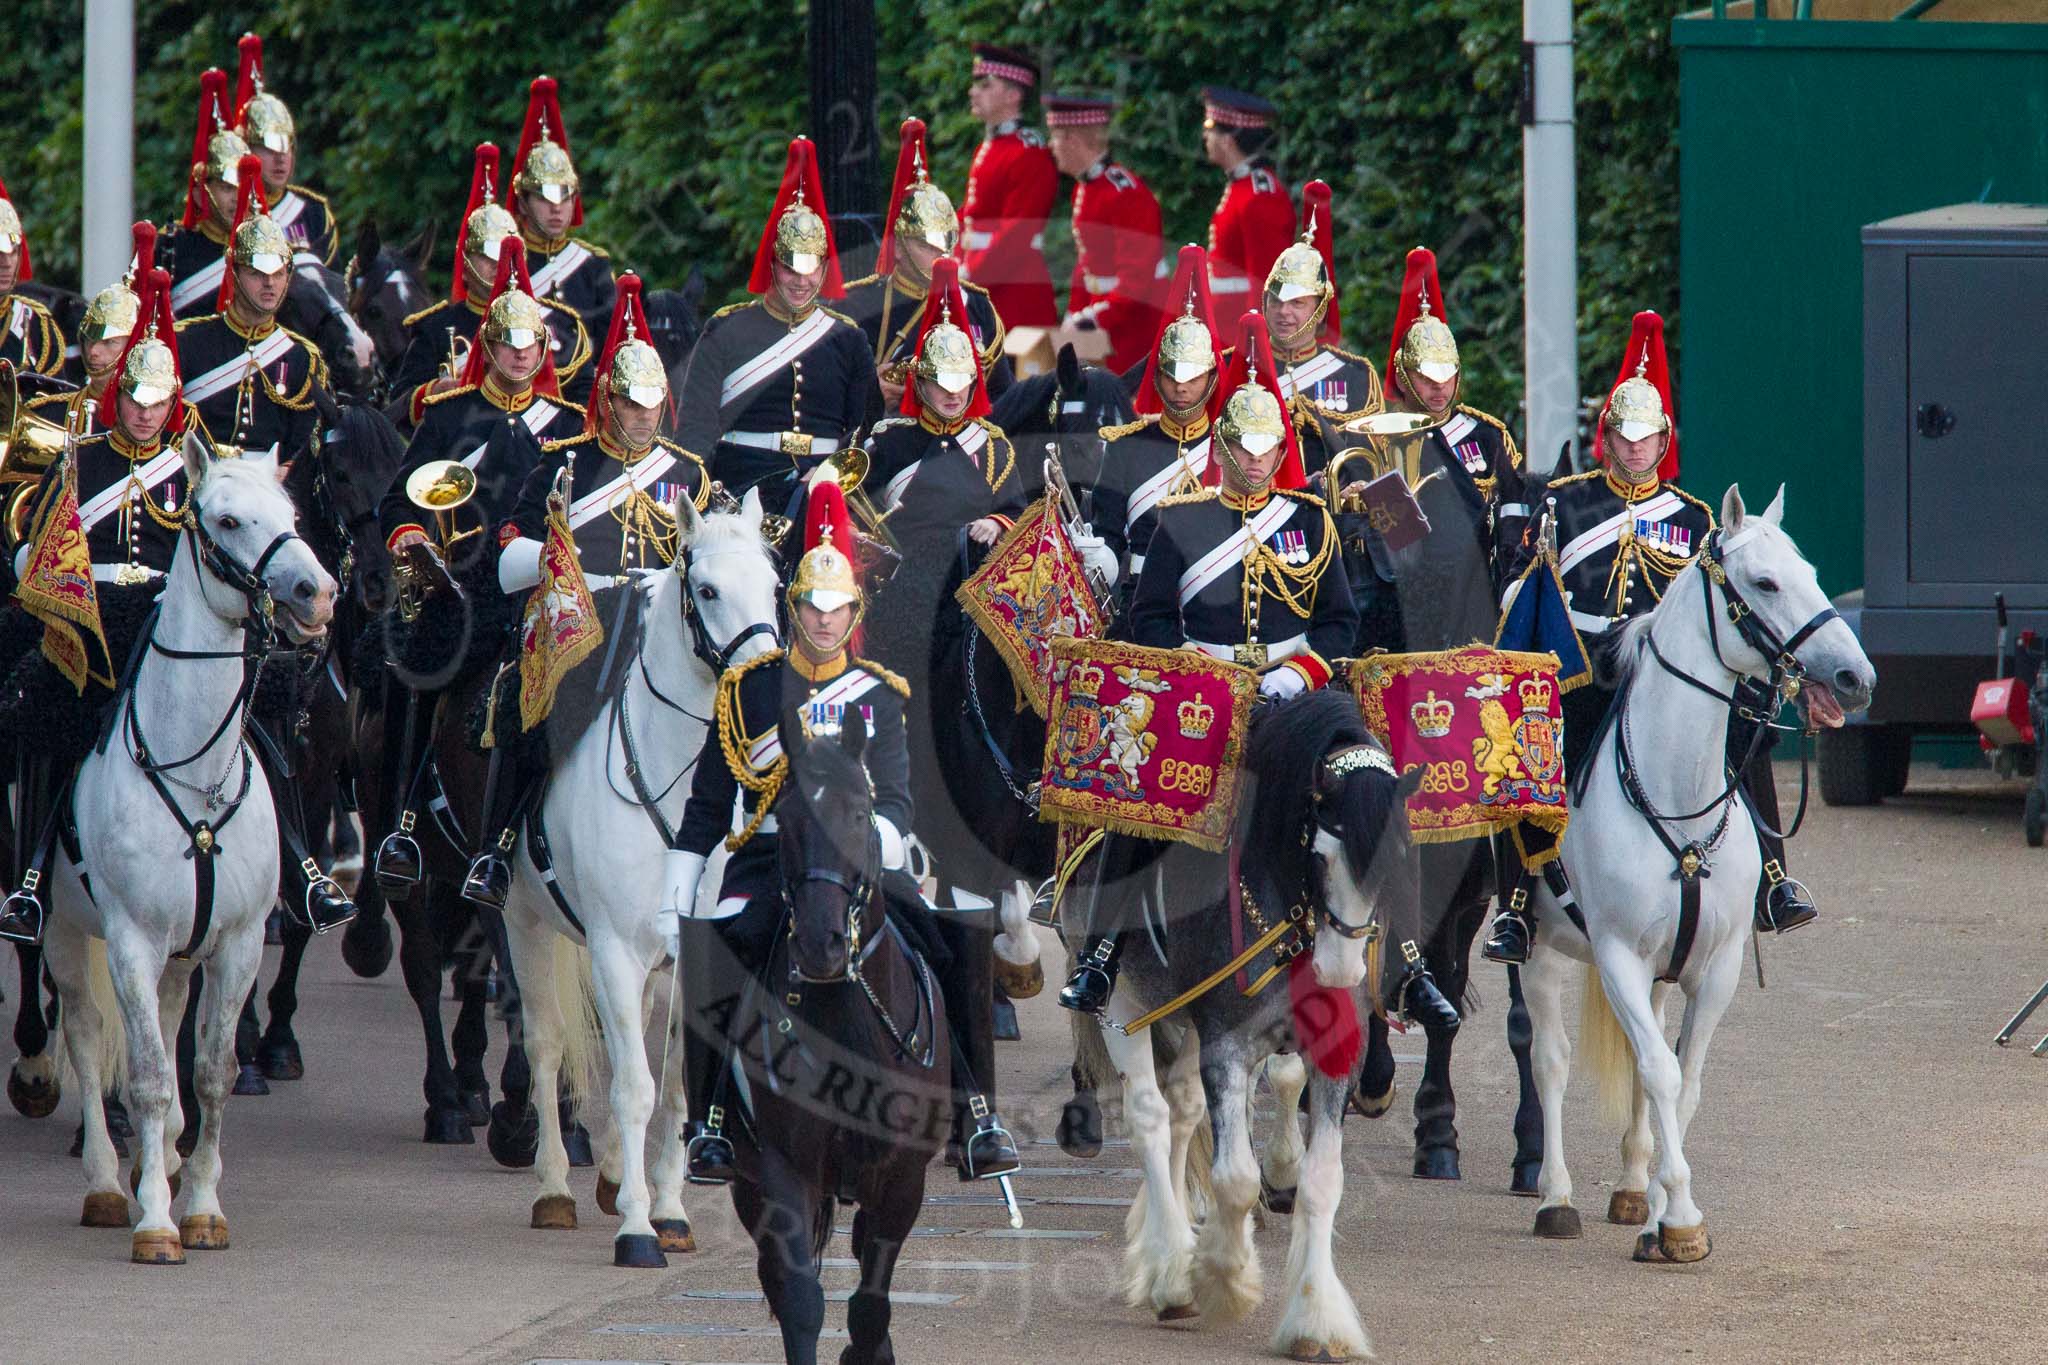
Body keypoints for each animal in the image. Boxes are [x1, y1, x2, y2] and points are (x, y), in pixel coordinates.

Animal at [44, 435, 335, 1260]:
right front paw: (154, 1219)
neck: (193, 772)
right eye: (227, 519)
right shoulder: (131, 942)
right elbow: (143, 1073)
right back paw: (109, 1182)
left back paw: (165, 1158)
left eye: (291, 513)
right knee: (83, 1034)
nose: (317, 593)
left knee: (173, 1024)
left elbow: (210, 1070)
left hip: (183, 950)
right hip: (63, 931)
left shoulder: (237, 941)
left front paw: (200, 1201)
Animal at [497, 485, 782, 1268]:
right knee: (548, 1044)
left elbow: (677, 1089)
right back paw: (556, 1188)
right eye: (706, 589)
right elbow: (633, 1088)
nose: (767, 689)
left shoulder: (698, 954)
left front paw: (671, 1210)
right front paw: (635, 1228)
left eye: (775, 585)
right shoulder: (614, 953)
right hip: (524, 923)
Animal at [1523, 485, 1875, 1268]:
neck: (1675, 797)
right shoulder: (1617, 956)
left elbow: (1684, 1081)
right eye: (1764, 583)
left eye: (1811, 572)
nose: (1856, 679)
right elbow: (1661, 1071)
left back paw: (1630, 1186)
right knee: (1549, 1059)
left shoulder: (1715, 968)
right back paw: (1555, 1196)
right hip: (1537, 949)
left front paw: (1659, 1213)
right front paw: (1680, 1215)